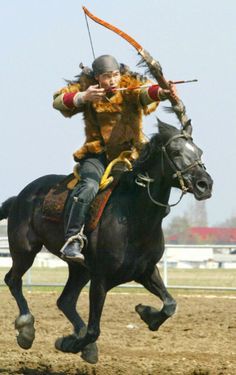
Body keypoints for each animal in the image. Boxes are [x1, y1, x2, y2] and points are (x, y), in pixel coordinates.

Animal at [0, 120, 213, 364]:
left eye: (199, 152)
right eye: (176, 152)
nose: (205, 184)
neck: (133, 216)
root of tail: (19, 197)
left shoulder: (146, 271)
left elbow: (170, 305)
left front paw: (146, 312)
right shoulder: (100, 279)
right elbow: (94, 330)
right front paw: (69, 343)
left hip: (79, 269)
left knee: (65, 300)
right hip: (25, 251)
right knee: (13, 280)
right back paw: (26, 329)